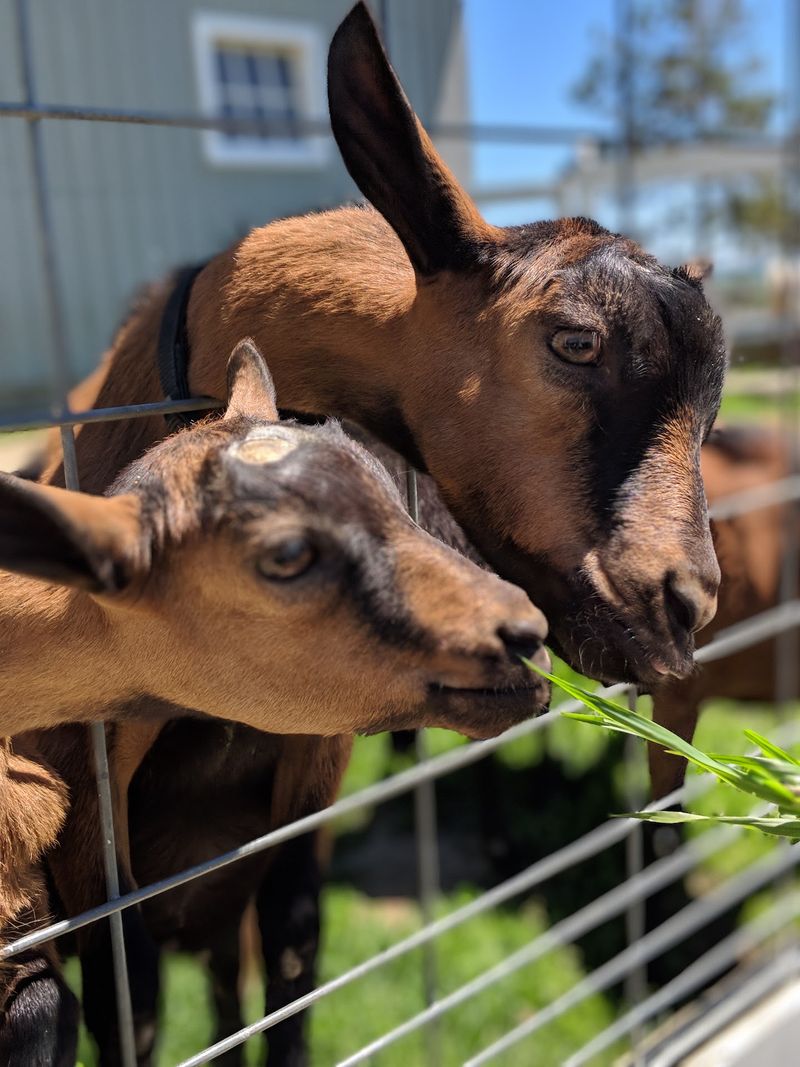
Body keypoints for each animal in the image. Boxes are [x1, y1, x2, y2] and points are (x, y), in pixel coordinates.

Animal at [1, 339, 549, 1064]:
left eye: (387, 489)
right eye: (287, 554)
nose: (527, 635)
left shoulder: (307, 775)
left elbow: (294, 941)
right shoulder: (78, 820)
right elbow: (127, 999)